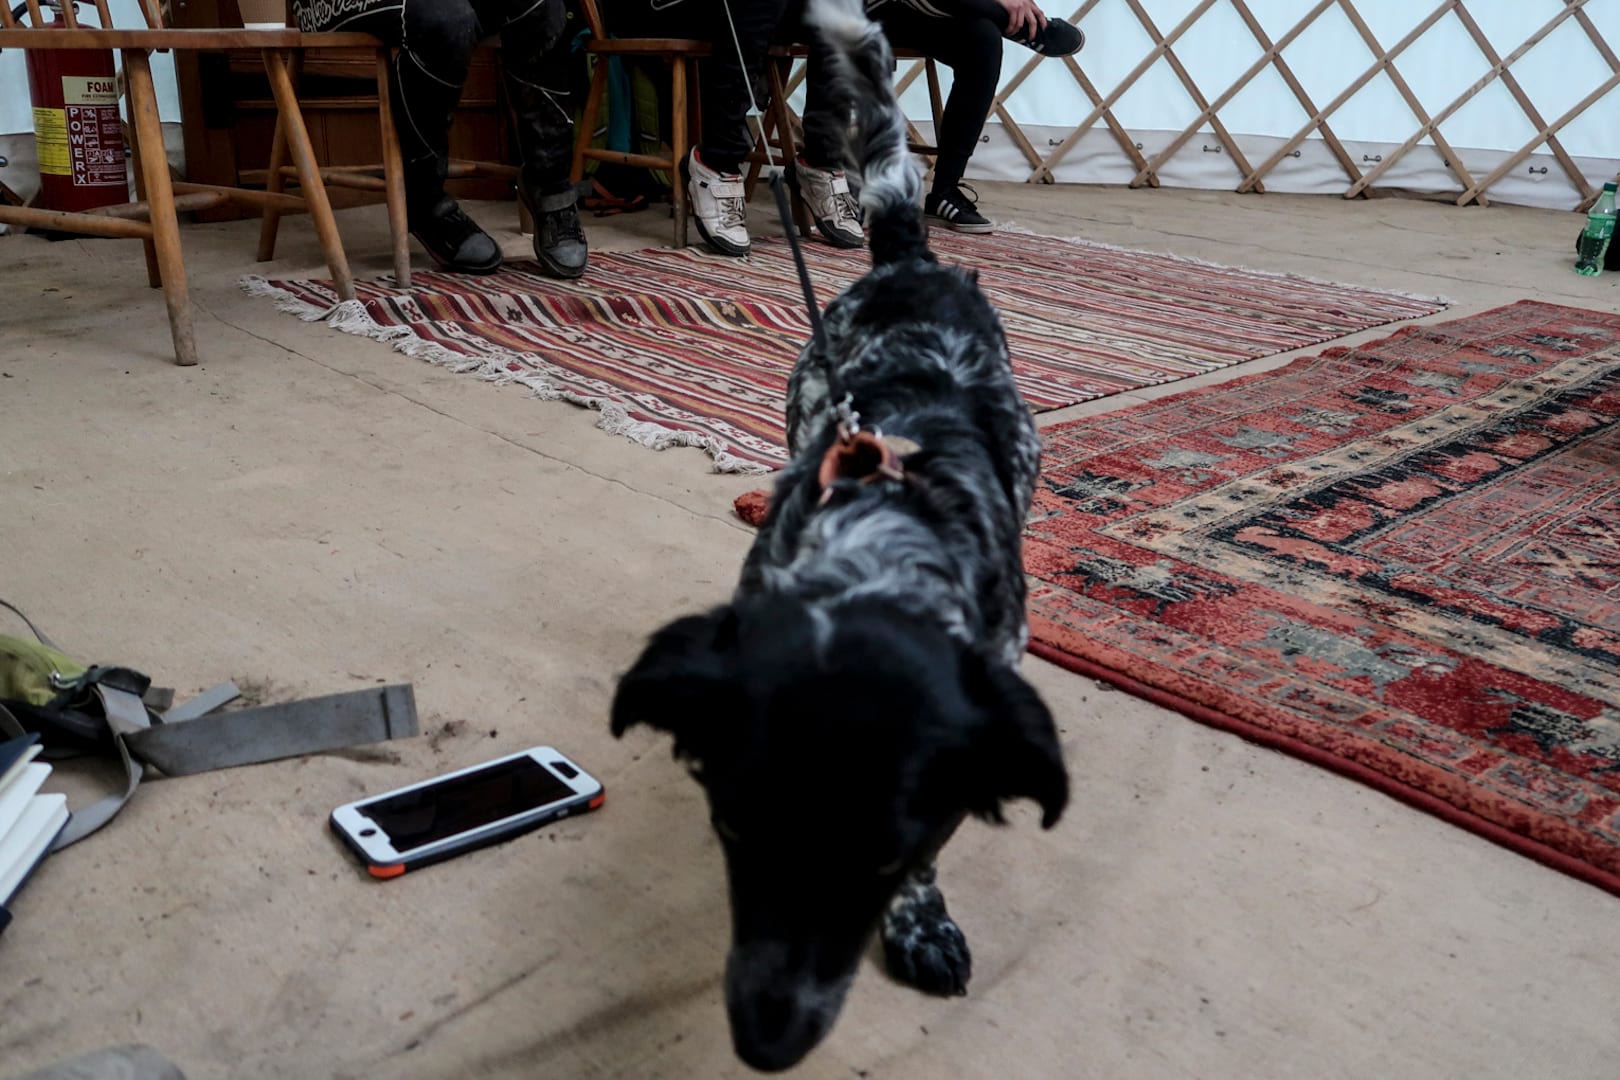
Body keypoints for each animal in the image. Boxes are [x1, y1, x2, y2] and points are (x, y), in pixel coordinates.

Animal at [610, 0, 1069, 1070]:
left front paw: (921, 923)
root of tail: (906, 260)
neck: (880, 543)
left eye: (885, 856)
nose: (766, 1039)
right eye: (732, 827)